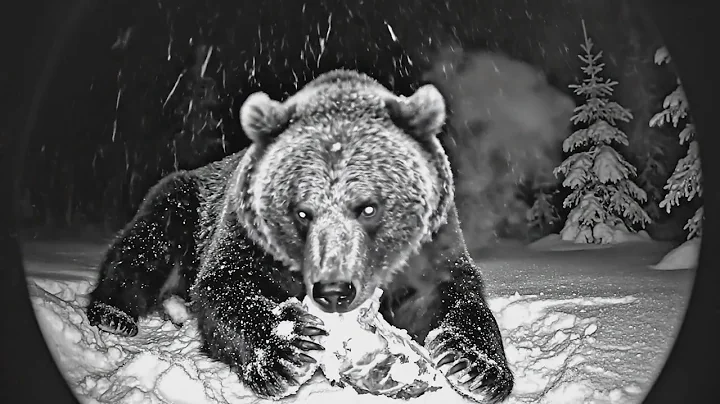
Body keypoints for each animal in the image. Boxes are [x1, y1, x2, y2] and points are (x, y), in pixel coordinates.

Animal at [85, 69, 514, 403]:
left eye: (369, 208)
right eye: (301, 212)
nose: (334, 292)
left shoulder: (430, 241)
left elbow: (449, 291)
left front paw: (475, 365)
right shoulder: (247, 232)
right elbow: (226, 282)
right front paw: (285, 348)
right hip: (182, 202)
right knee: (145, 248)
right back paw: (114, 313)